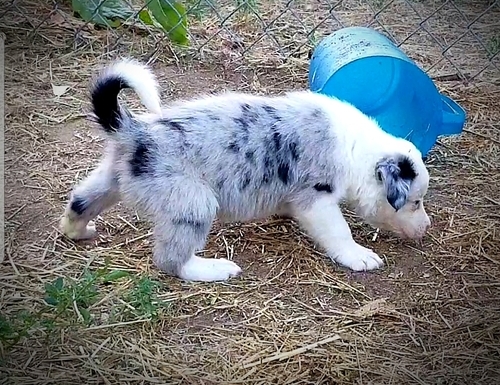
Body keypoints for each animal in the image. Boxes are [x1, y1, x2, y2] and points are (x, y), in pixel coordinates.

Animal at [60, 57, 432, 280]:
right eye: (414, 202)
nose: (427, 228)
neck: (357, 148)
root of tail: (135, 130)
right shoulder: (318, 199)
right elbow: (340, 233)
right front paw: (360, 257)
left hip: (110, 179)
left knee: (79, 200)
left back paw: (78, 231)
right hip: (193, 203)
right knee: (170, 260)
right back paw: (213, 268)